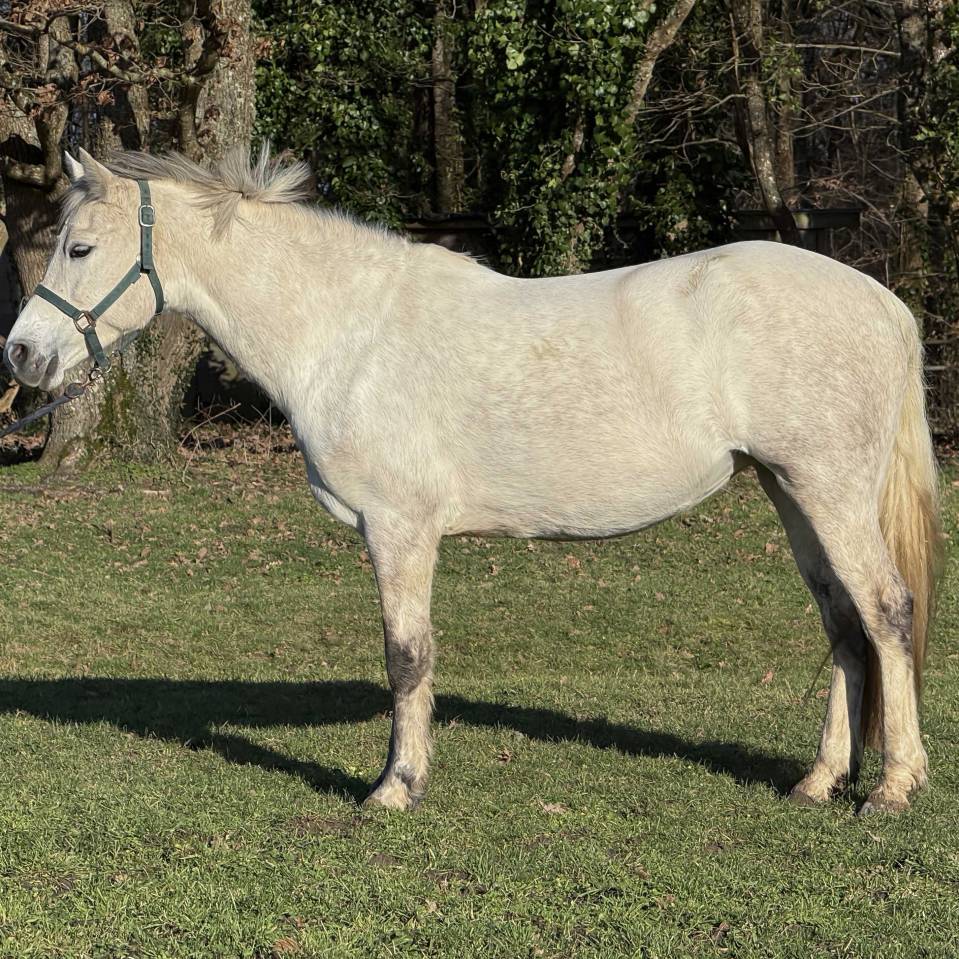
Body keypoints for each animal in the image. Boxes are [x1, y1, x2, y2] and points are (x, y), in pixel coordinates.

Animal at [4, 145, 943, 814]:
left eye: (80, 246)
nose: (21, 354)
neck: (348, 330)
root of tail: (882, 302)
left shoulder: (398, 528)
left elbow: (406, 656)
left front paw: (395, 786)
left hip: (828, 490)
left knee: (885, 612)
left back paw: (893, 787)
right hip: (790, 491)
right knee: (842, 625)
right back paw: (817, 781)